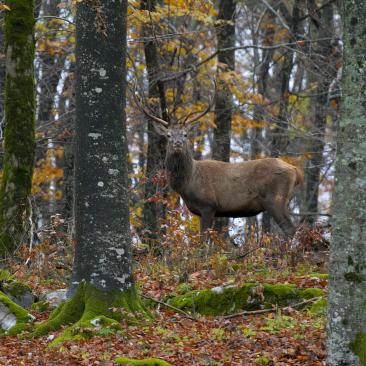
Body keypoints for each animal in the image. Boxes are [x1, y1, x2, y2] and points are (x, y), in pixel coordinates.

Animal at [134, 91, 304, 239]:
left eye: (185, 134)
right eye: (168, 135)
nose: (177, 143)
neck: (188, 181)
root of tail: (295, 170)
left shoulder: (208, 205)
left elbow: (204, 241)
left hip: (275, 198)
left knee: (290, 229)